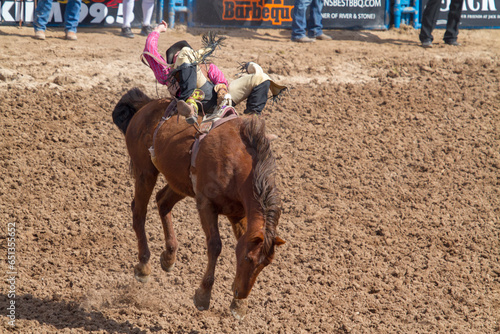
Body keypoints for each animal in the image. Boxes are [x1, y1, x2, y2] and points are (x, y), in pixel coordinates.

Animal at [112, 88, 286, 318]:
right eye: (248, 259)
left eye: (266, 264)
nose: (240, 293)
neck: (237, 166)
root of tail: (147, 105)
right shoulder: (205, 204)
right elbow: (215, 245)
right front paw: (204, 295)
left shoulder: (238, 214)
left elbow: (239, 239)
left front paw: (239, 305)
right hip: (145, 173)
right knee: (139, 212)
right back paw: (143, 266)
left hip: (180, 183)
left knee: (162, 202)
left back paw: (169, 257)